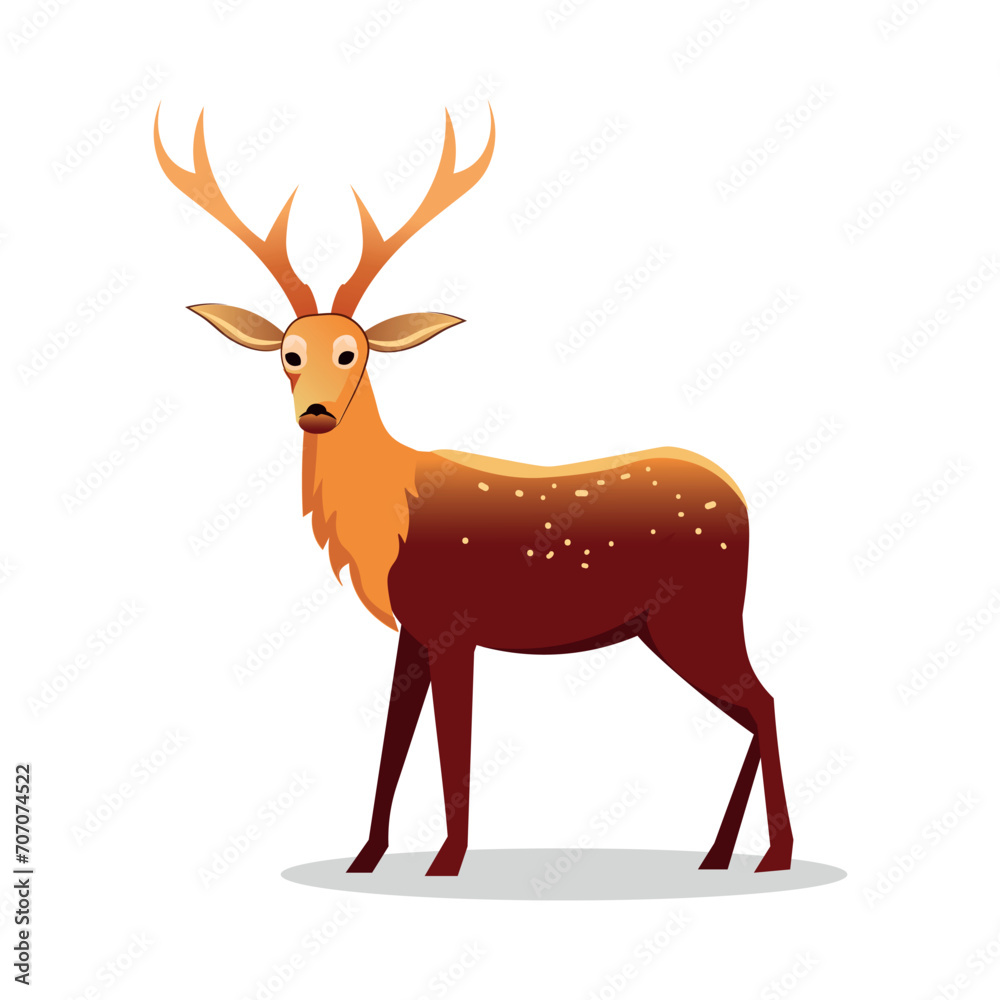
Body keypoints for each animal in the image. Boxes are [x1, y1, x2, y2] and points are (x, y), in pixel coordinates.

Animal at [153, 105, 793, 877]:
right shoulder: (414, 630)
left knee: (765, 702)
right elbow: (392, 742)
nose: (316, 411)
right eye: (289, 353)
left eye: (352, 353)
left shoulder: (456, 624)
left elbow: (450, 744)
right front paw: (366, 856)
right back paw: (719, 853)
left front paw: (446, 861)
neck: (386, 519)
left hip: (698, 617)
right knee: (755, 707)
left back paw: (773, 855)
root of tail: (745, 501)